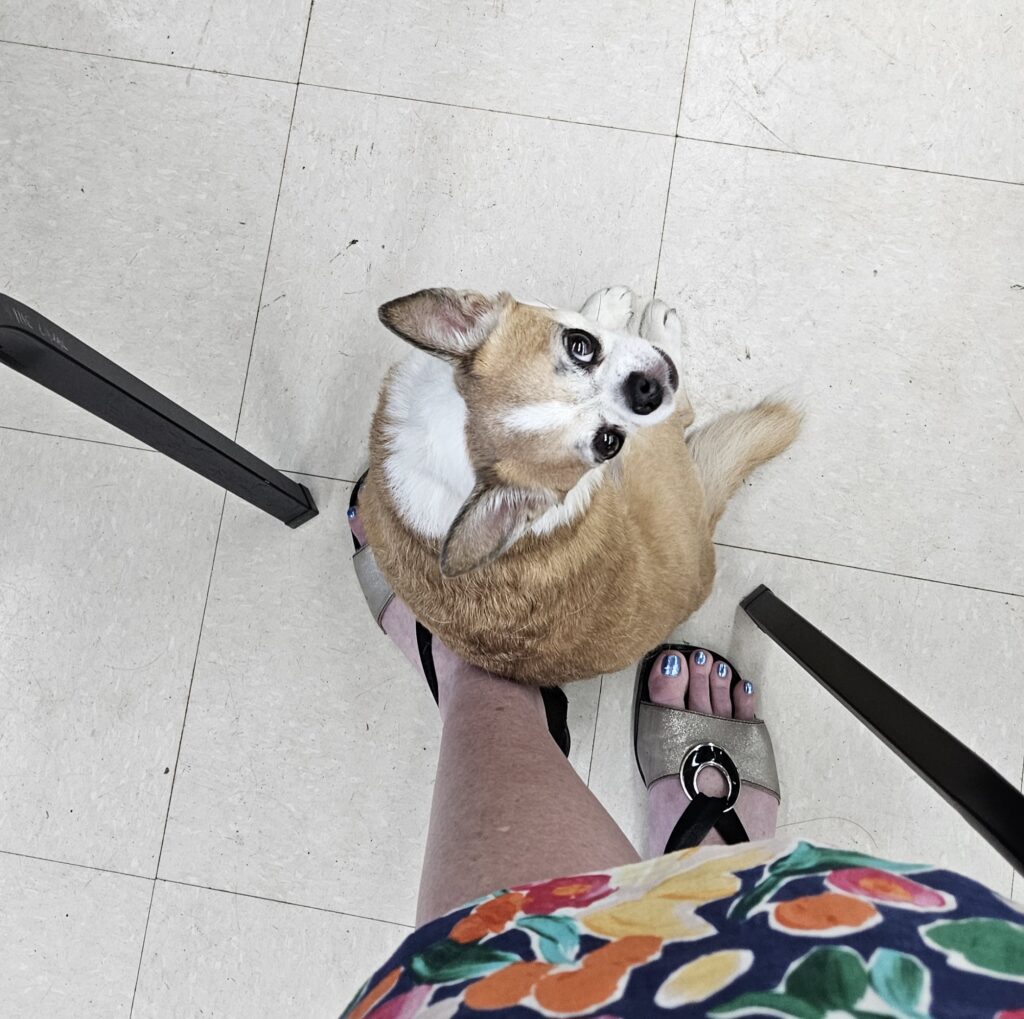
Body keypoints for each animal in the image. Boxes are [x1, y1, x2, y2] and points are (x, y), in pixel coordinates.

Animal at [358, 284, 798, 684]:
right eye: (608, 444)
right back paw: (662, 329)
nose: (645, 391)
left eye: (578, 345)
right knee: (683, 410)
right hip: (658, 447)